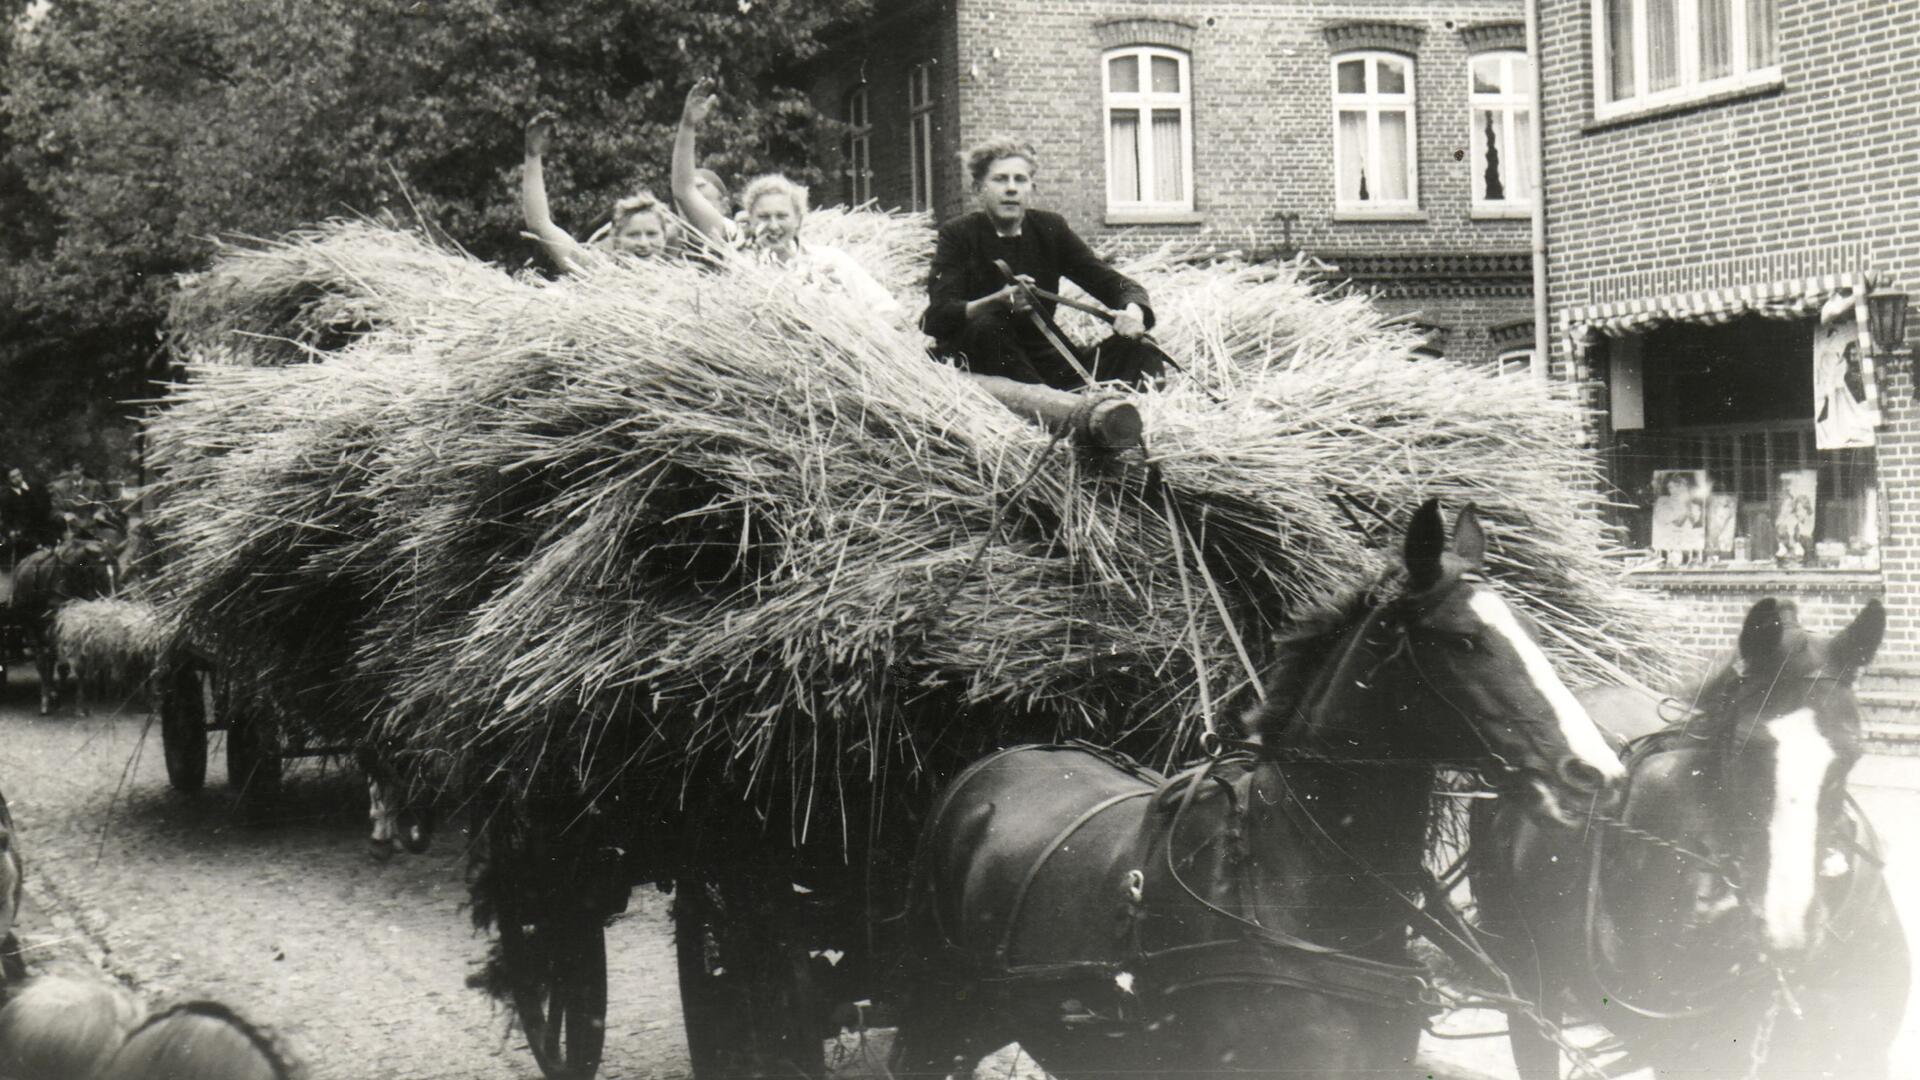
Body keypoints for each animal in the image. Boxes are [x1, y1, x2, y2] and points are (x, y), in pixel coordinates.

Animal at [890, 499, 1628, 1076]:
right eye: (1463, 640)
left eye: (1530, 632)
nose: (1598, 774)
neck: (1296, 885)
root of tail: (998, 763)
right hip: (935, 1019)